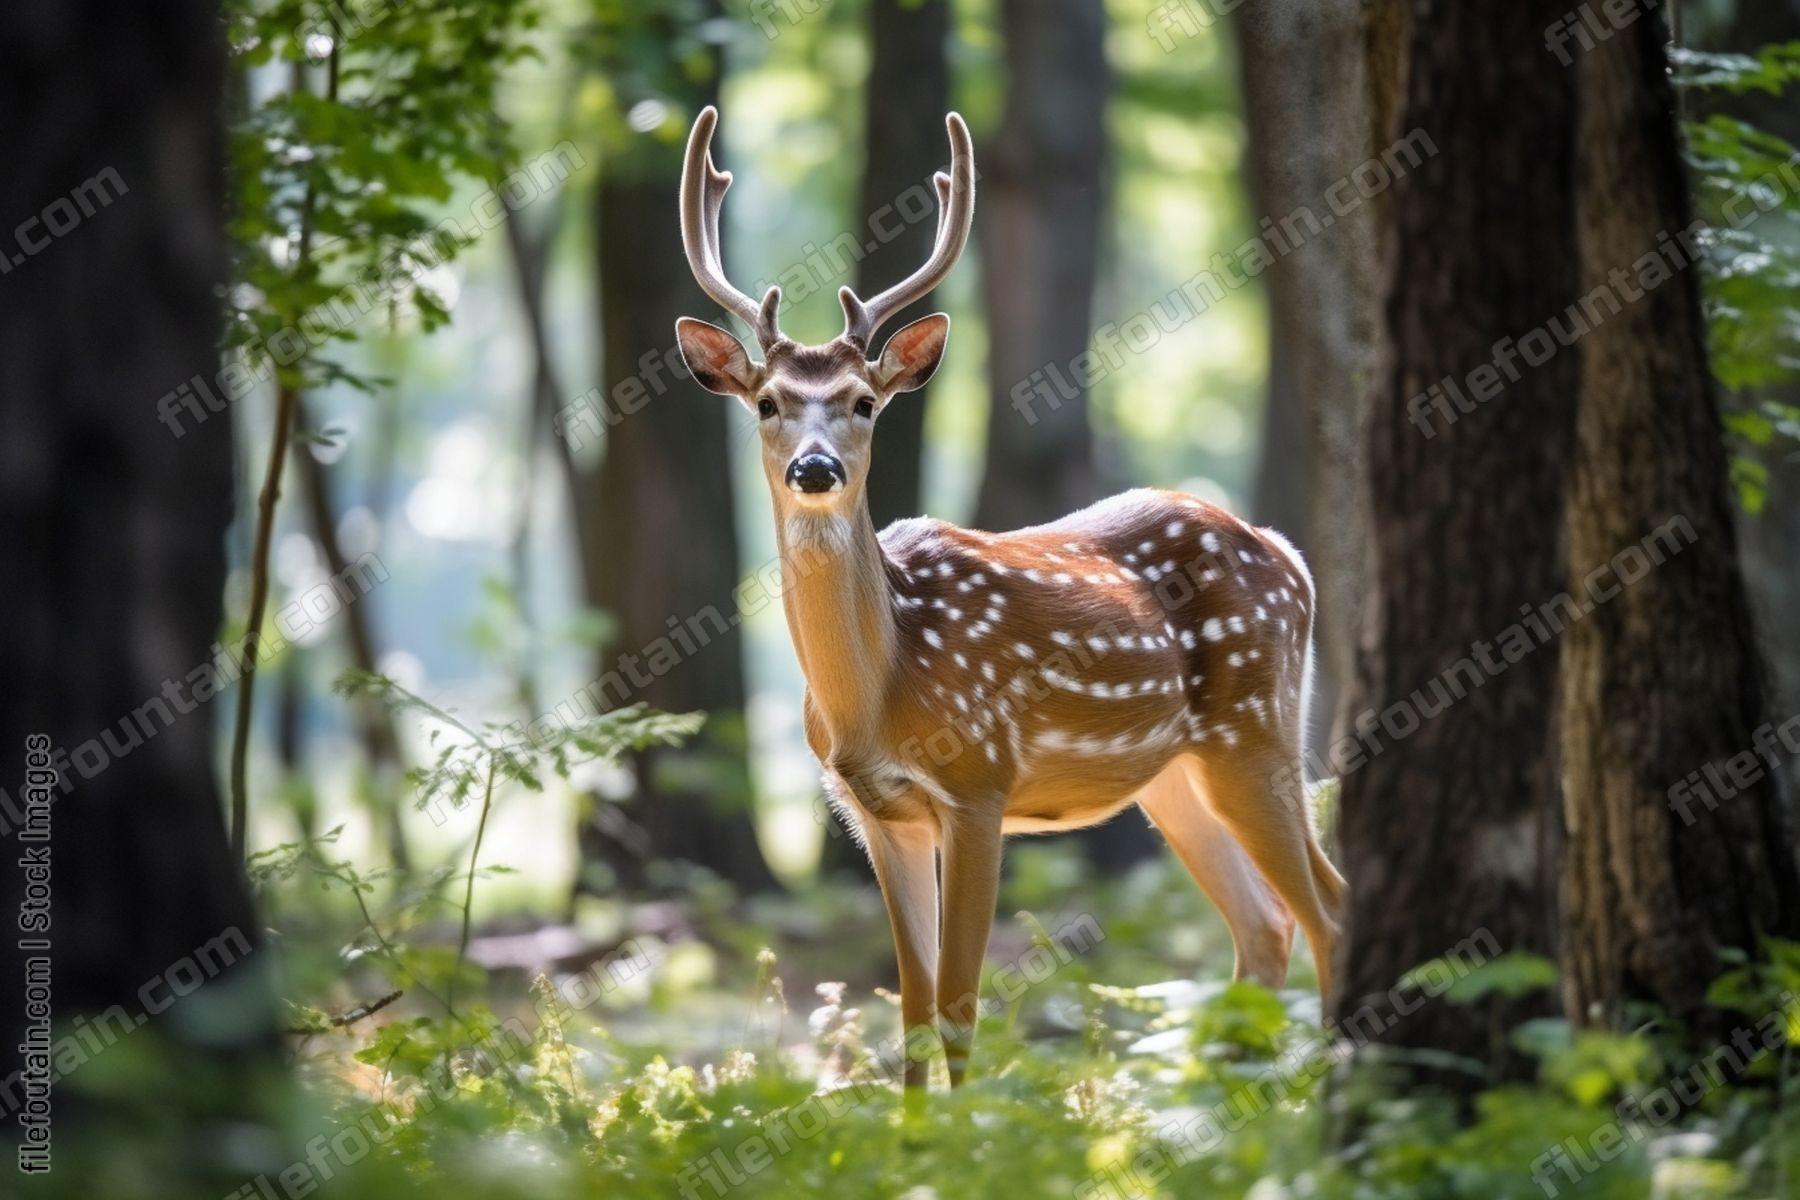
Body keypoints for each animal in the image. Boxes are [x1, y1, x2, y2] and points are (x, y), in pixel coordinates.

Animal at [672, 106, 1345, 1091]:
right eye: (766, 402)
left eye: (865, 400)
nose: (815, 468)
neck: (875, 691)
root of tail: (1289, 555)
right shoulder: (876, 814)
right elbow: (912, 1010)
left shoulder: (979, 782)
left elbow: (959, 1008)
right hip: (1172, 774)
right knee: (1267, 923)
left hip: (1255, 729)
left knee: (1327, 908)